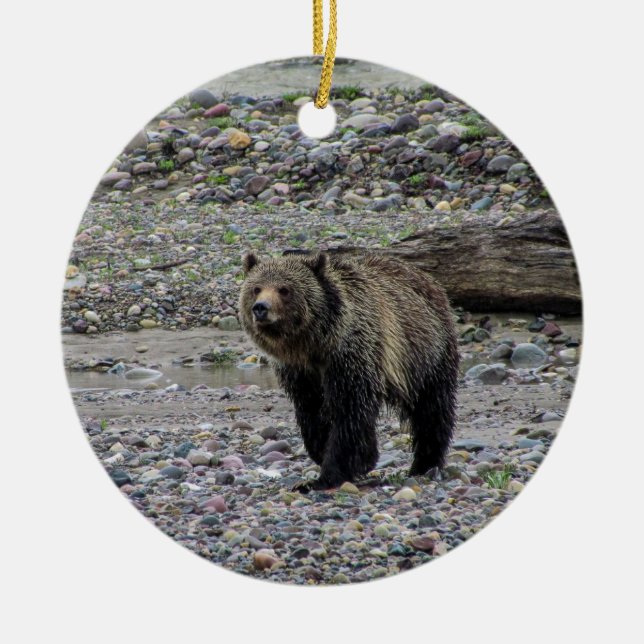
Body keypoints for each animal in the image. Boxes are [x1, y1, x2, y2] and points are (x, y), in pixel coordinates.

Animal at [239, 251, 459, 491]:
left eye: (284, 289)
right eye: (256, 288)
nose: (261, 308)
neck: (313, 346)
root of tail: (429, 279)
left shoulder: (351, 358)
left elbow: (349, 413)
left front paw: (330, 474)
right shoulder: (300, 374)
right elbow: (312, 414)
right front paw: (323, 453)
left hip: (427, 355)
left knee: (432, 409)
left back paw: (425, 463)